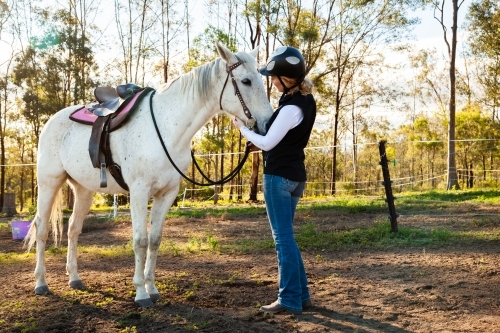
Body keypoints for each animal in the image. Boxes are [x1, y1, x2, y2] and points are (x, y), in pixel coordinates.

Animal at [25, 42, 272, 306]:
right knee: (42, 228)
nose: (268, 123)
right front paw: (141, 293)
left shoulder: (167, 193)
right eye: (246, 81)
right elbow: (140, 241)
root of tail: (52, 120)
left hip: (83, 190)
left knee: (73, 229)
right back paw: (41, 283)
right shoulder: (139, 191)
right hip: (49, 183)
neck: (166, 127)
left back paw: (74, 278)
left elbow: (154, 240)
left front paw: (152, 288)